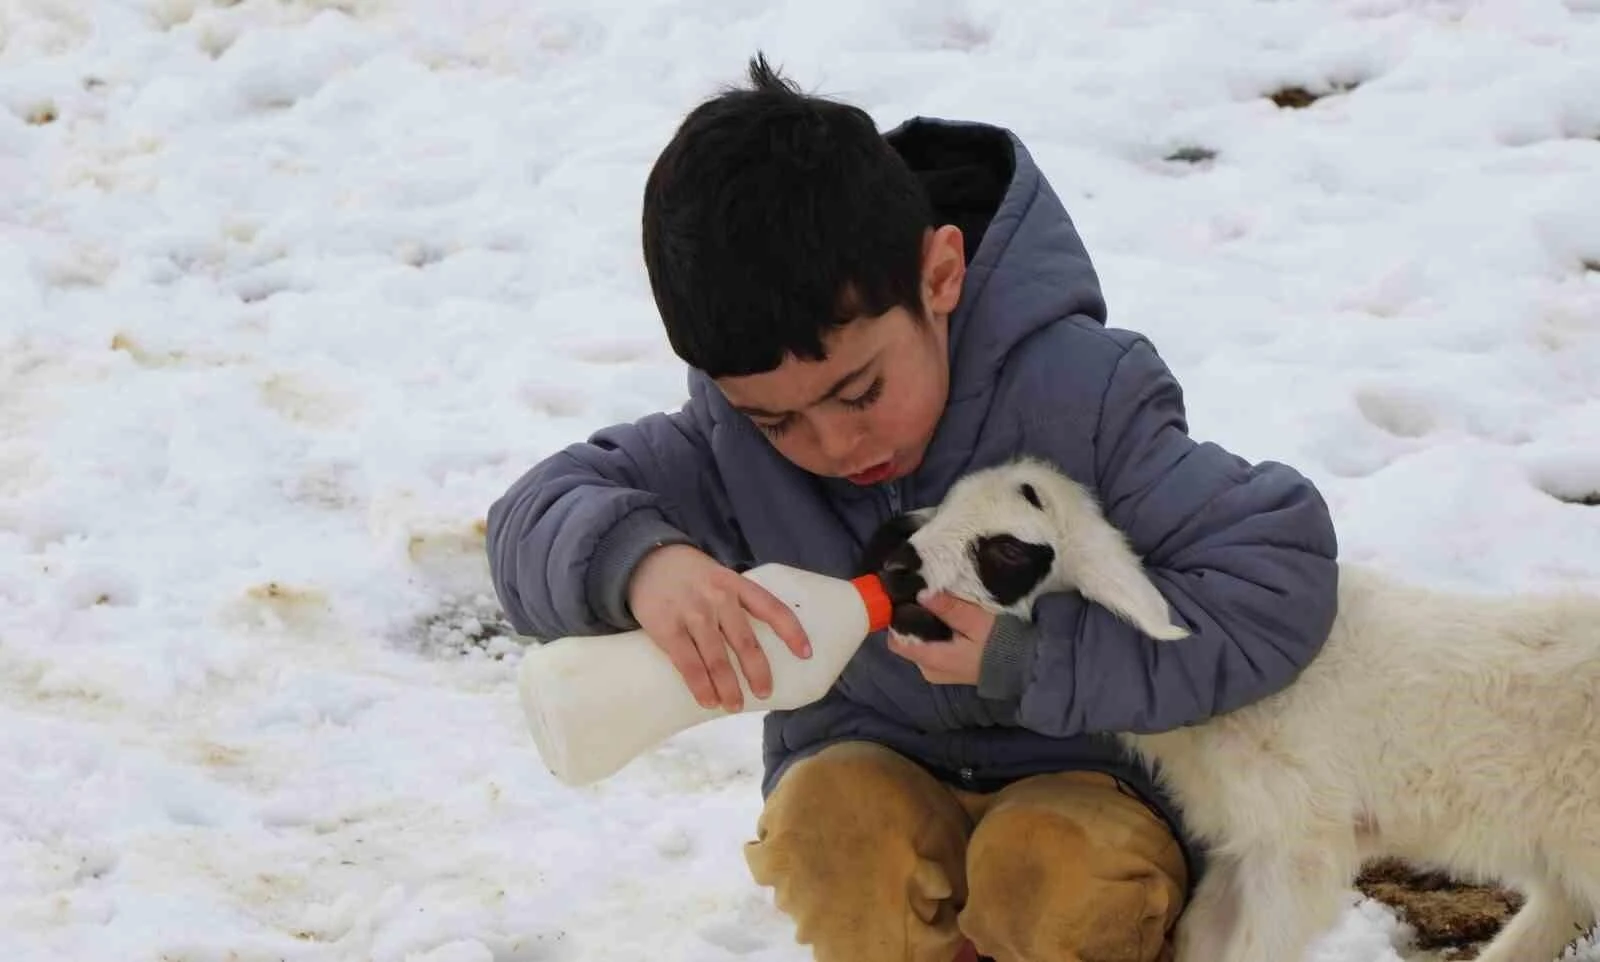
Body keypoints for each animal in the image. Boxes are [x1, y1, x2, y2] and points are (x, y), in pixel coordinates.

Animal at [870, 454, 1600, 960]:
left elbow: (1256, 946)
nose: (896, 568)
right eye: (946, 507)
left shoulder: (1298, 842)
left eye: (1006, 548)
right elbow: (1202, 936)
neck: (1218, 709)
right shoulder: (1241, 843)